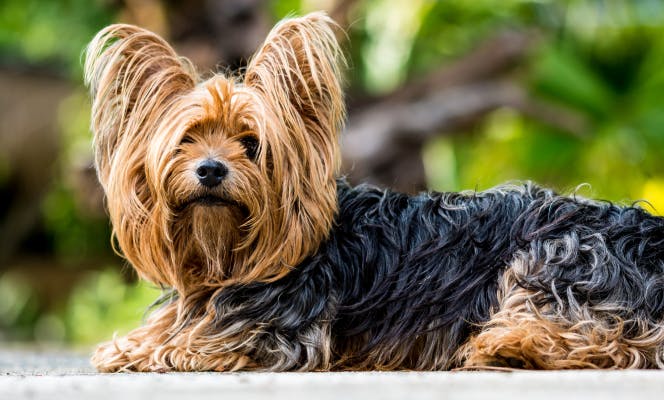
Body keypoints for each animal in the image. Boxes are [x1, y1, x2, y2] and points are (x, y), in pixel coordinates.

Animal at [85, 10, 664, 372]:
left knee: (620, 342)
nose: (209, 170)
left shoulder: (278, 335)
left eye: (252, 144)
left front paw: (145, 350)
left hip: (561, 254)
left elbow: (190, 345)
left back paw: (509, 346)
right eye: (186, 140)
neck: (227, 255)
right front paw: (134, 342)